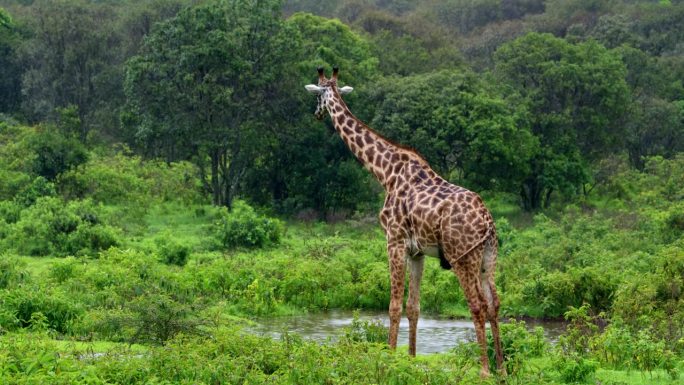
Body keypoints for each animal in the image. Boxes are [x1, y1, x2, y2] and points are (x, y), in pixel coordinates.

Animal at [308, 67, 504, 376]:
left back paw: (484, 370)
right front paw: (410, 360)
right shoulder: (417, 251)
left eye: (317, 95)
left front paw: (388, 358)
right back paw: (503, 369)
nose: (316, 114)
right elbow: (413, 307)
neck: (385, 171)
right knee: (494, 303)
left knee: (477, 304)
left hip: (463, 256)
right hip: (488, 257)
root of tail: (487, 221)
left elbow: (393, 305)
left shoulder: (394, 241)